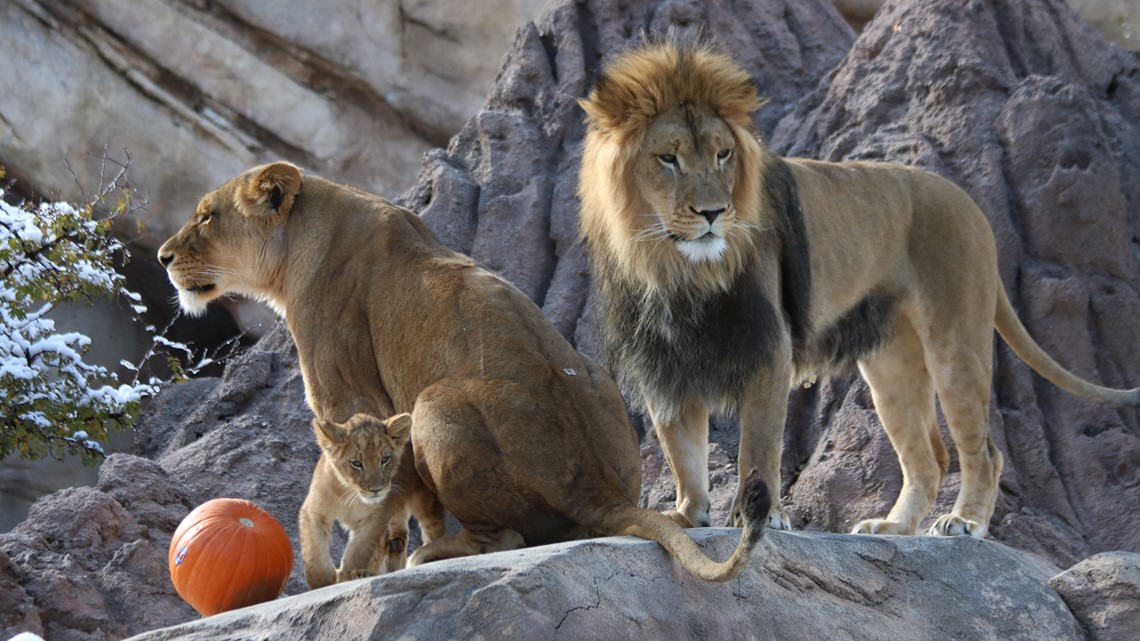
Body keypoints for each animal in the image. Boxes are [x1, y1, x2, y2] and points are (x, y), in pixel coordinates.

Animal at [156, 161, 770, 581]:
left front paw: (362, 568)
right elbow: (402, 499)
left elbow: (377, 499)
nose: (162, 258)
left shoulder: (350, 396)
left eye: (207, 216)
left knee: (508, 536)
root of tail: (603, 492)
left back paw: (434, 554)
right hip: (595, 371)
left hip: (435, 404)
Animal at [579, 39, 1140, 536]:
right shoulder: (664, 360)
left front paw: (763, 517)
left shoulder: (769, 348)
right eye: (668, 158)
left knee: (984, 450)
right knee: (929, 458)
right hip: (891, 365)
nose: (715, 213)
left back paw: (965, 523)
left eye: (722, 155)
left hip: (955, 344)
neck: (676, 269)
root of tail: (969, 203)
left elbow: (758, 446)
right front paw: (685, 515)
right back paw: (893, 528)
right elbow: (682, 450)